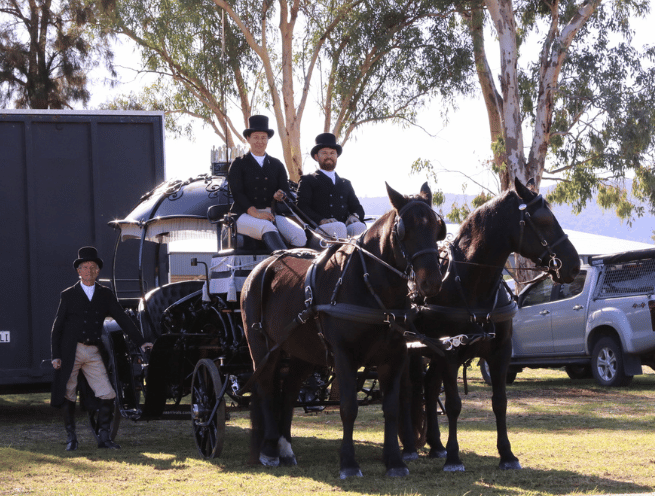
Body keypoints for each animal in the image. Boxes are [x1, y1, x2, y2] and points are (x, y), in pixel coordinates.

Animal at [243, 182, 448, 476]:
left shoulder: (394, 356)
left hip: (303, 353)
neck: (371, 289)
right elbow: (349, 408)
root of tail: (260, 267)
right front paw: (349, 463)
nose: (431, 282)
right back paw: (269, 450)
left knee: (289, 392)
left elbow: (392, 408)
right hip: (262, 347)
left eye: (436, 226)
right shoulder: (344, 355)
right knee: (266, 389)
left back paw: (285, 448)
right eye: (404, 229)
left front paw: (395, 461)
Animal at [416, 176, 580, 470]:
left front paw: (507, 454)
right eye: (543, 219)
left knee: (430, 386)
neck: (472, 286)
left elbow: (500, 402)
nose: (574, 265)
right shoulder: (449, 353)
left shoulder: (500, 352)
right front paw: (454, 456)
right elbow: (454, 404)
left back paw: (435, 444)